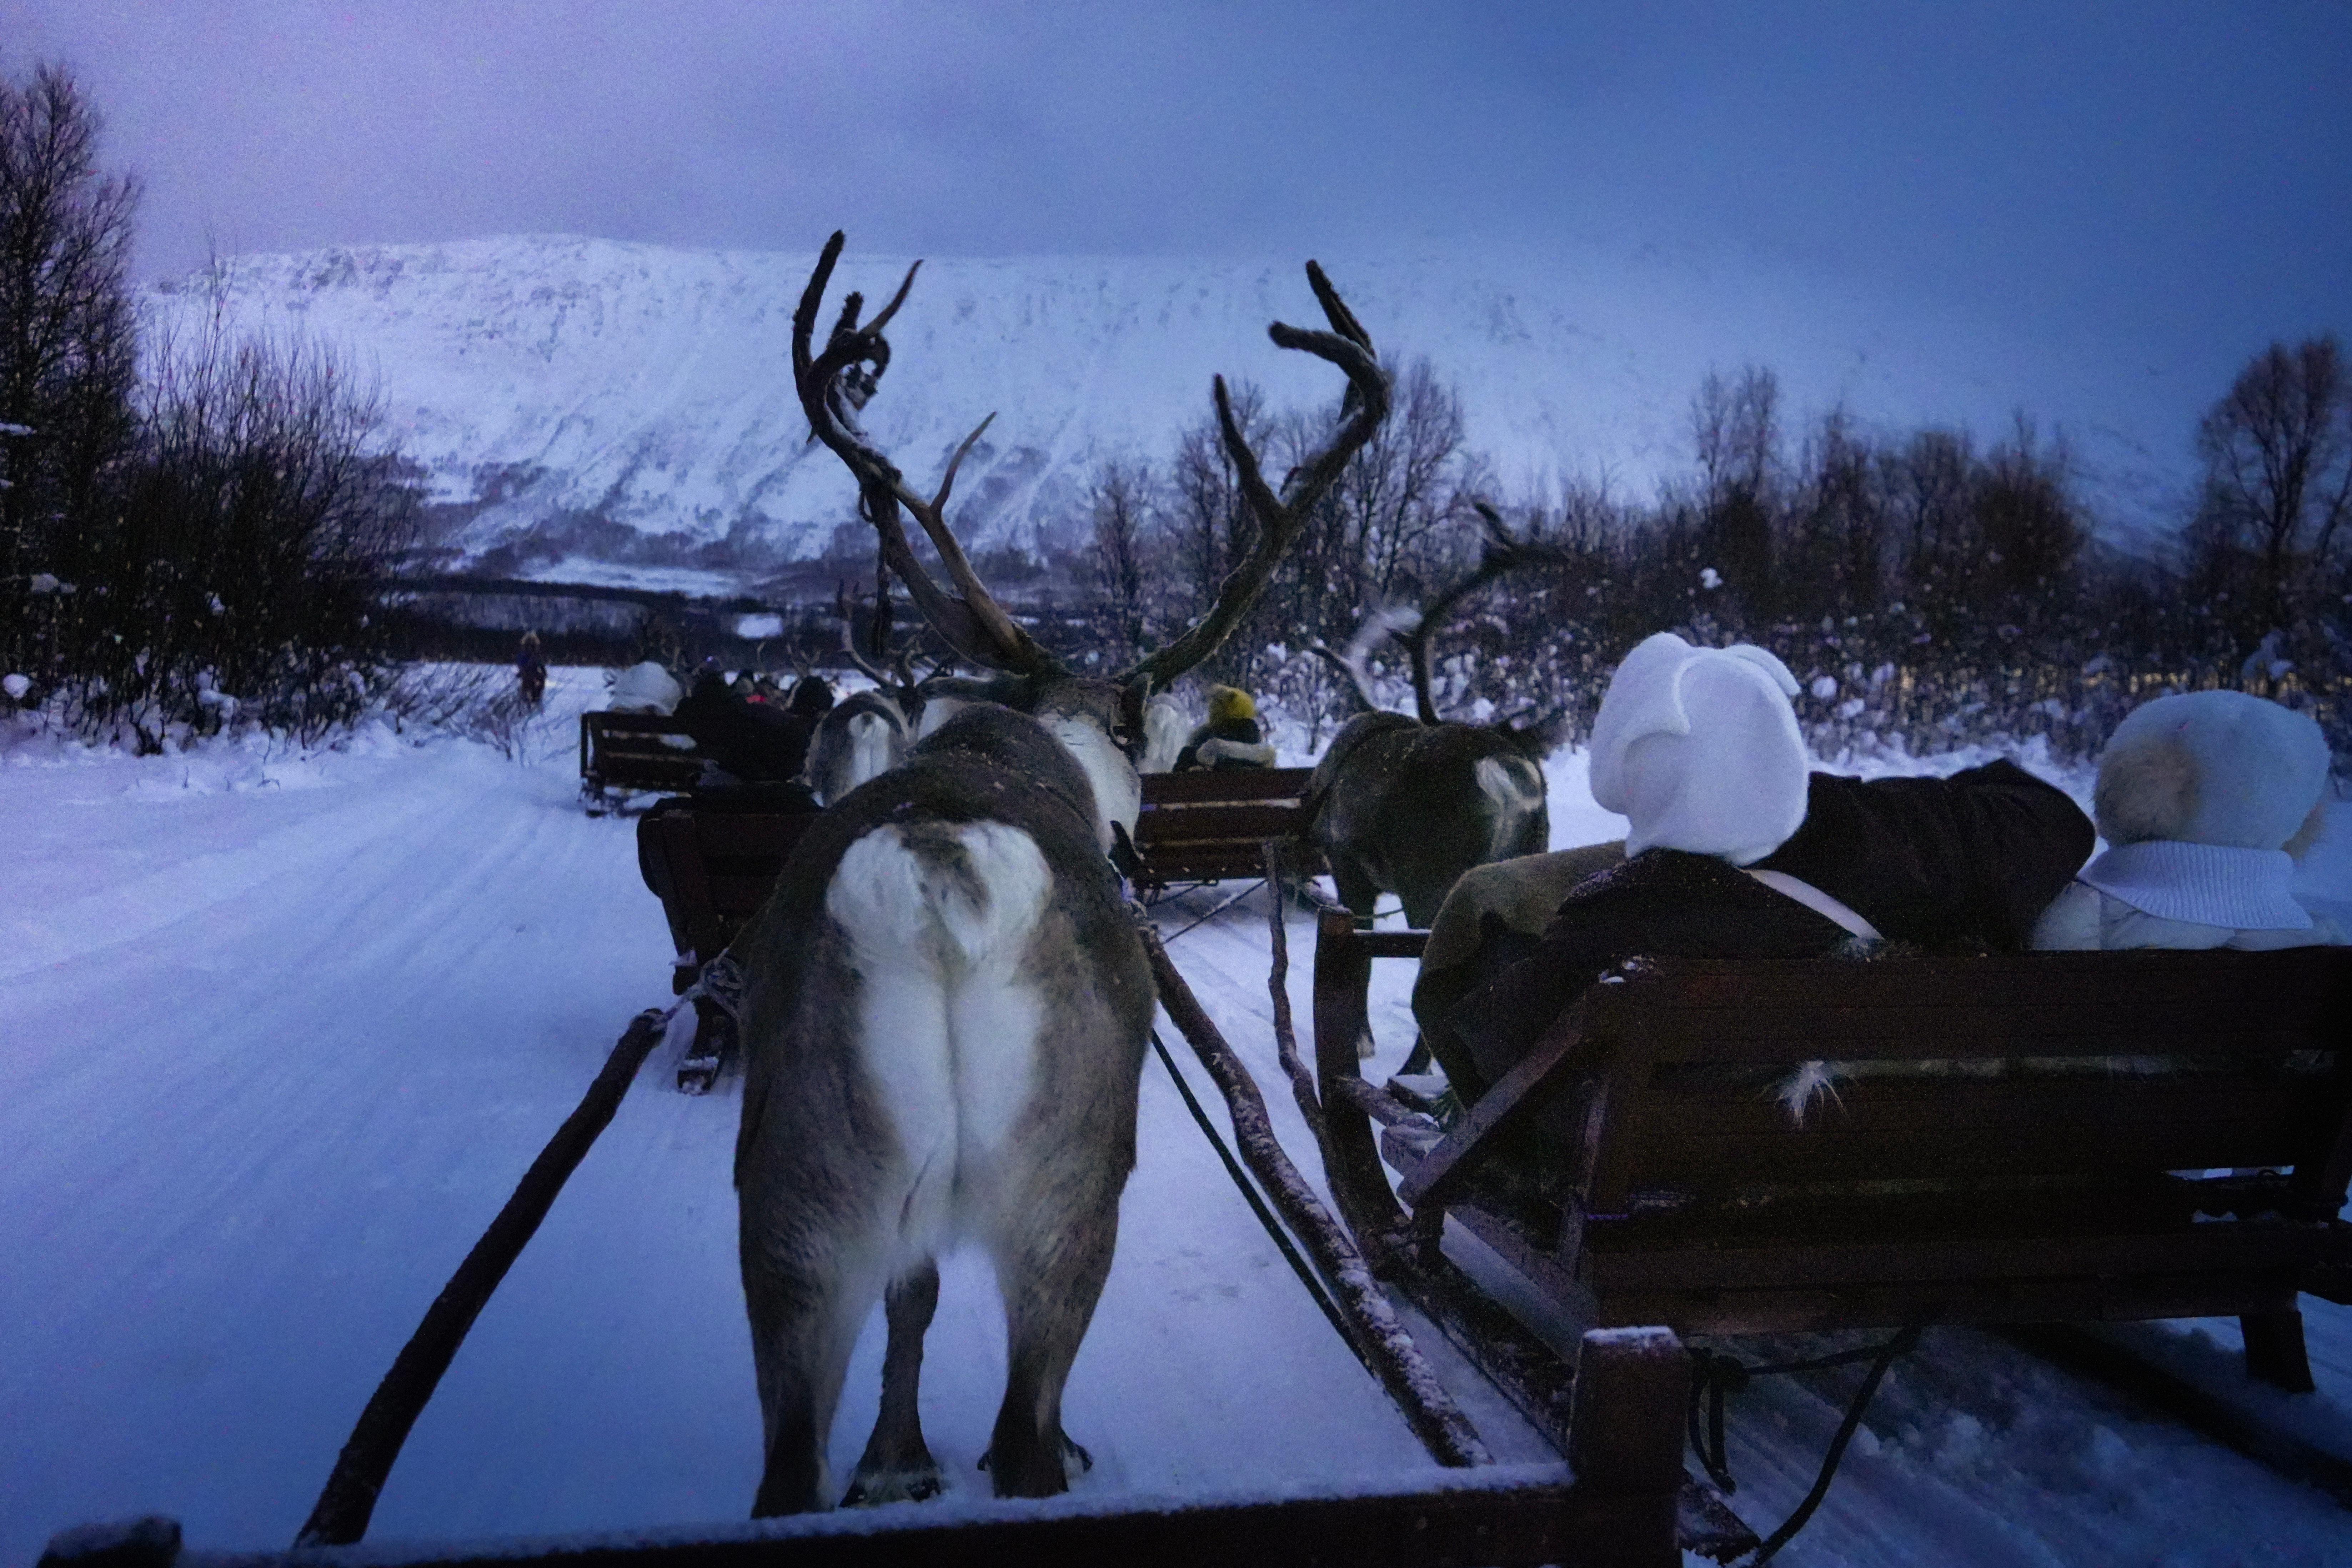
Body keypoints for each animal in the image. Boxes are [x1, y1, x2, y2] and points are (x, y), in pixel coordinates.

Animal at [732, 231, 1389, 1515]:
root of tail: (940, 872)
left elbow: (915, 1292)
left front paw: (894, 1459)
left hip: (793, 1202)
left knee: (786, 1462)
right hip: (1071, 1186)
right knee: (1025, 1432)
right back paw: (1050, 1454)